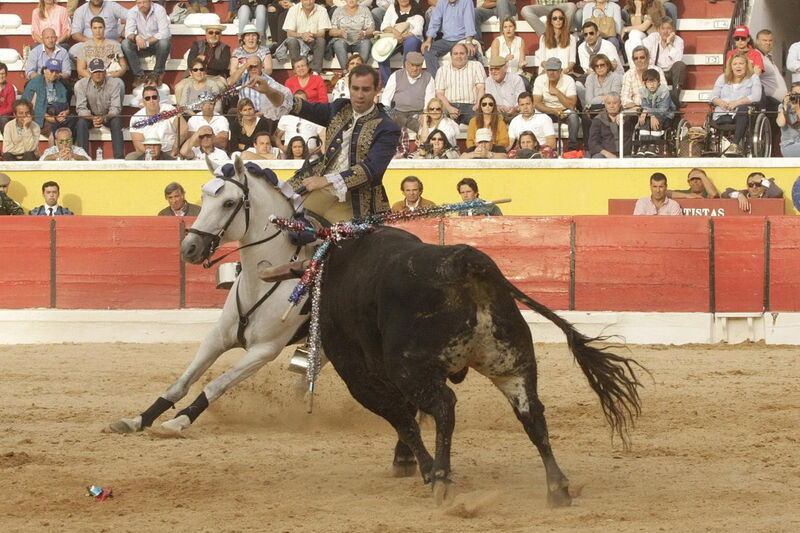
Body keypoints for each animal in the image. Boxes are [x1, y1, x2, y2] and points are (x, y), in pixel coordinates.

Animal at [108, 156, 312, 434]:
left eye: (229, 203)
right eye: (204, 199)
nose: (189, 248)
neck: (263, 280)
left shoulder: (265, 350)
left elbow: (216, 385)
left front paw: (179, 420)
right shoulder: (217, 337)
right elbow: (180, 384)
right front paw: (138, 419)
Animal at [314, 223, 644, 502]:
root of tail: (467, 262)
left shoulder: (361, 378)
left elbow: (404, 420)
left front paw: (422, 468)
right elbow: (409, 416)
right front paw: (407, 461)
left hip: (409, 370)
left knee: (444, 406)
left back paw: (441, 479)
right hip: (512, 365)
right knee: (531, 412)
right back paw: (557, 487)